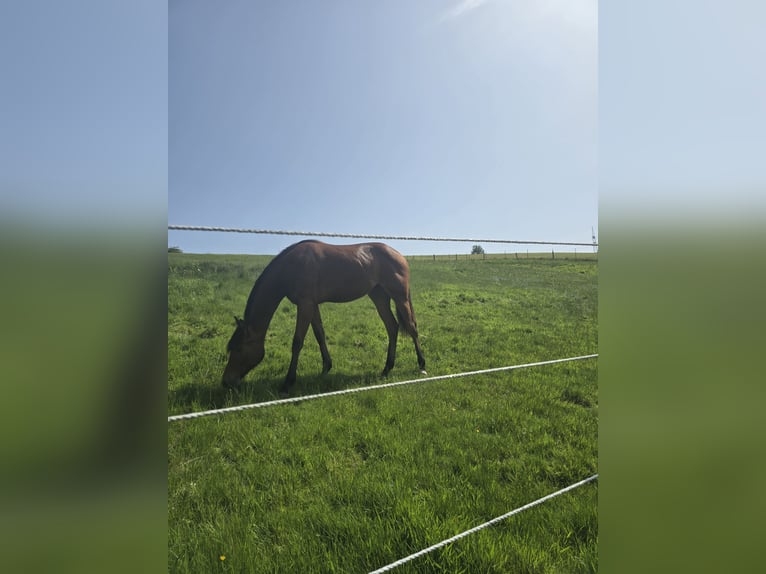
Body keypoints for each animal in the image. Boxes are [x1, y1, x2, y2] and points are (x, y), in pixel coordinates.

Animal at [222, 240, 426, 392]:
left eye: (238, 348)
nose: (226, 381)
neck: (290, 267)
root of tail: (399, 255)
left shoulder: (305, 305)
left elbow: (297, 342)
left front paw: (288, 382)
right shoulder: (312, 305)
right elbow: (319, 335)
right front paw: (326, 368)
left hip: (399, 297)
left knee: (412, 327)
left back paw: (422, 365)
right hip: (379, 296)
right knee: (392, 327)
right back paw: (386, 369)